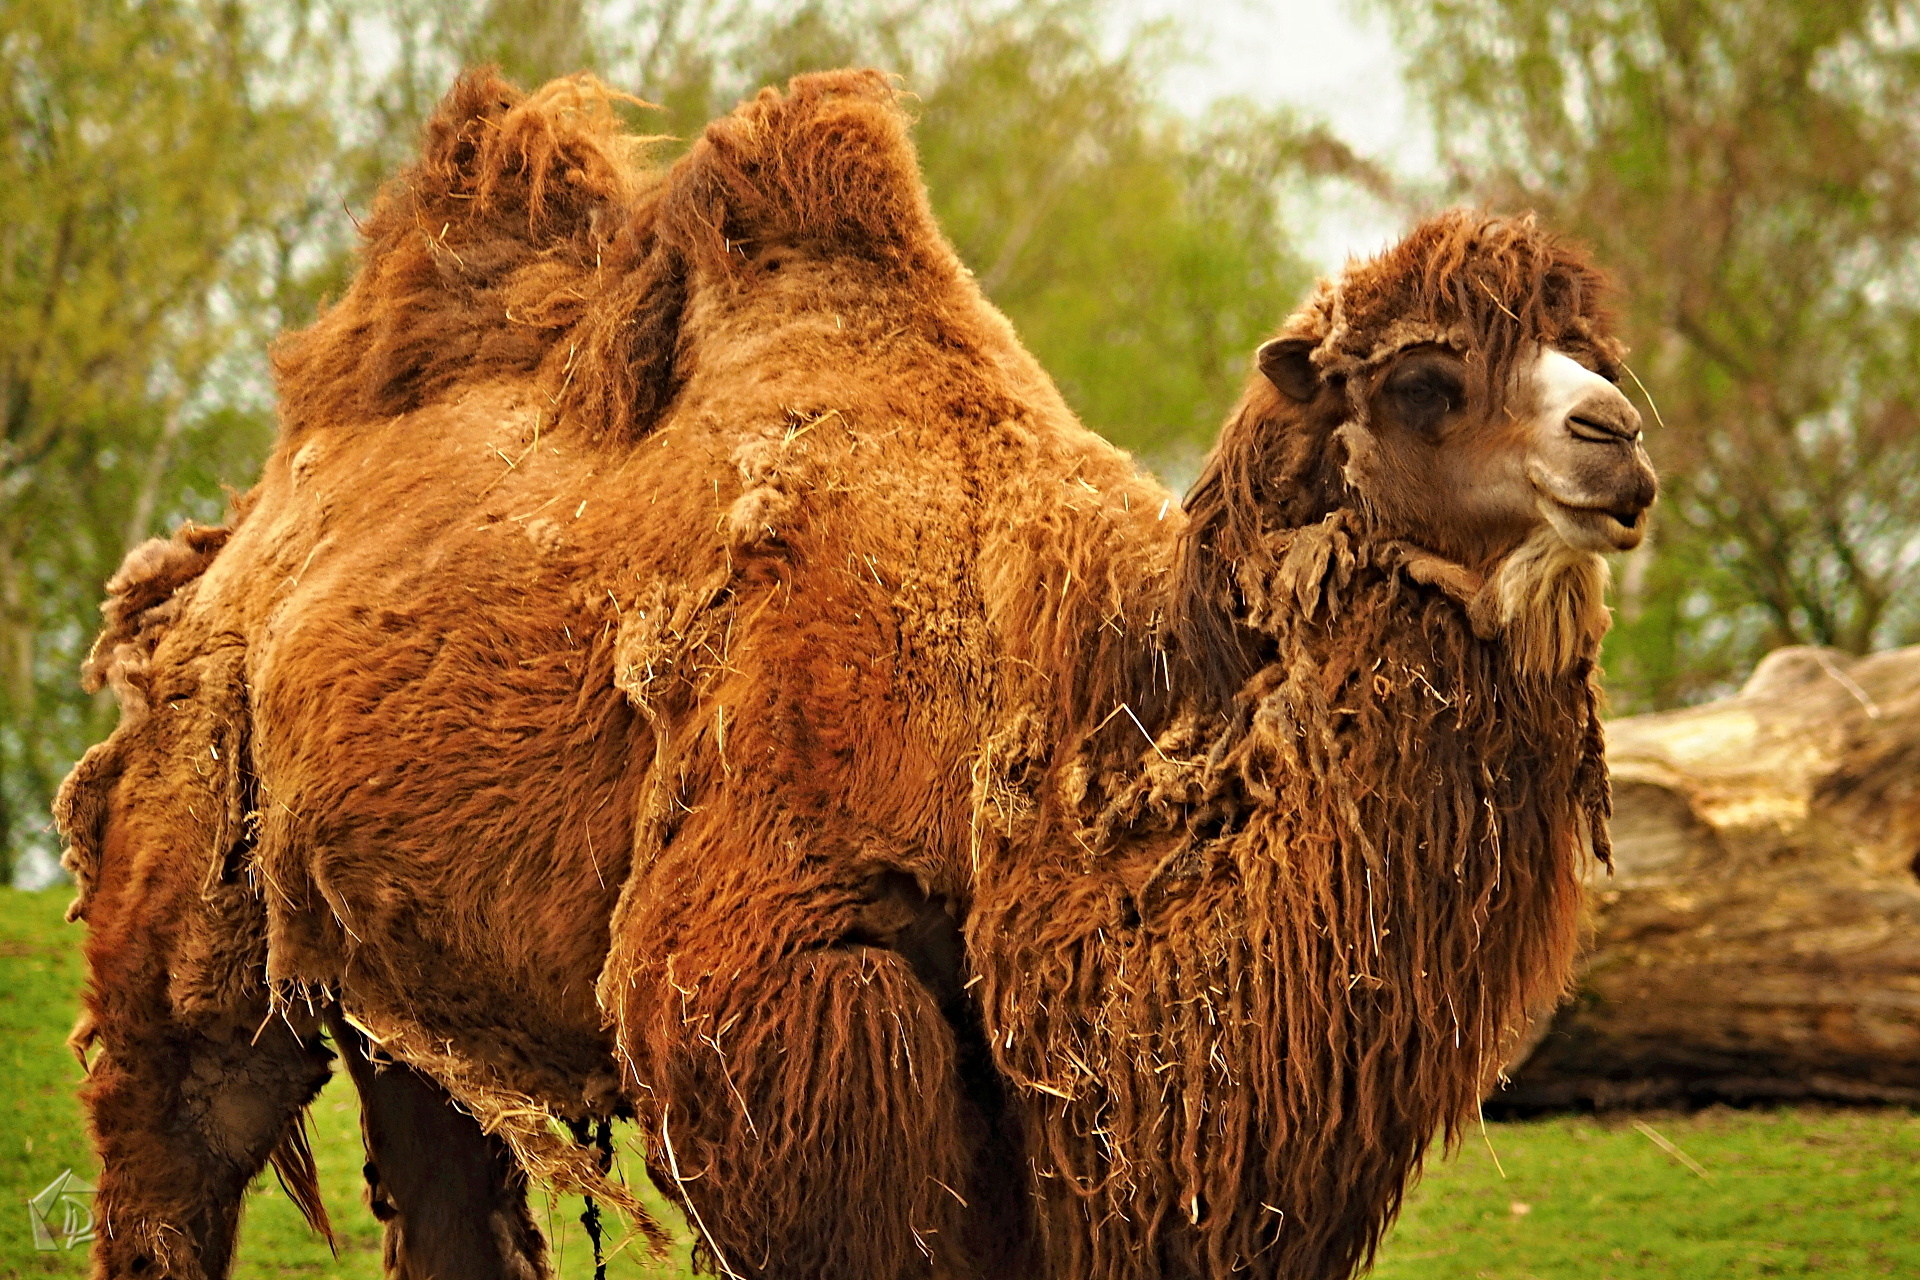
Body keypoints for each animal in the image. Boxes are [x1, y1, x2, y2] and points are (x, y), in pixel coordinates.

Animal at [54, 69, 1656, 1280]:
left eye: (1594, 351)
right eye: (1423, 381)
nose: (1622, 442)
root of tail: (220, 548)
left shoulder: (1015, 1107)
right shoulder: (774, 987)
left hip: (399, 969)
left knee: (440, 1171)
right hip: (195, 861)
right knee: (175, 1131)